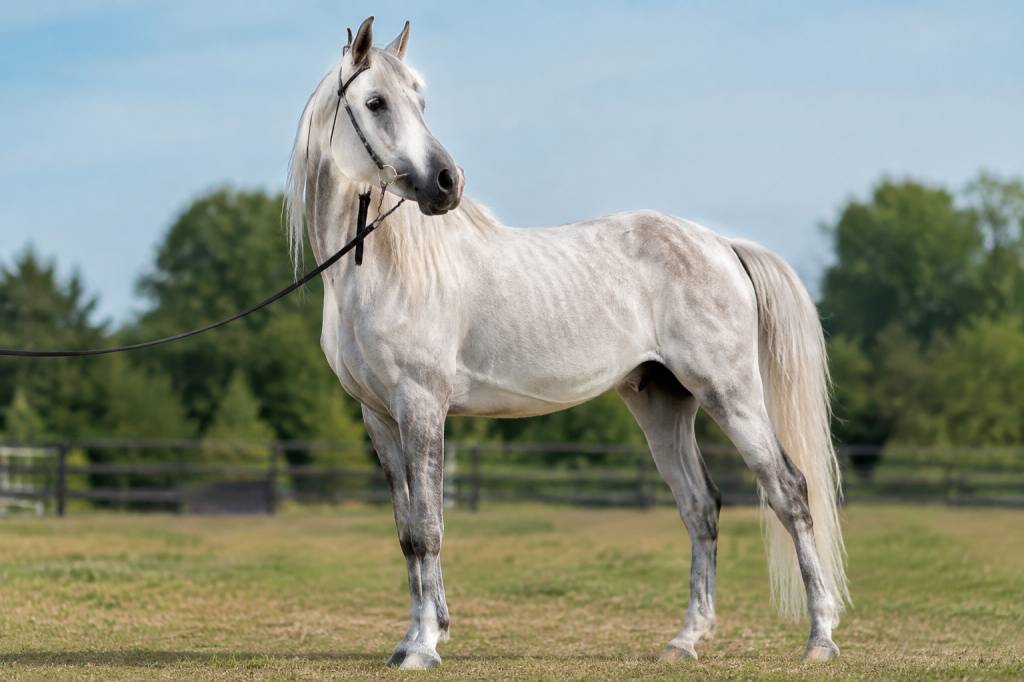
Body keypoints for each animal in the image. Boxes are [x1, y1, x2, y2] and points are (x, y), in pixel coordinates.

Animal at [285, 16, 849, 670]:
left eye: (420, 101)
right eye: (375, 102)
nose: (448, 184)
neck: (380, 270)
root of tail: (721, 245)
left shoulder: (421, 406)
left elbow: (429, 528)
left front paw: (424, 647)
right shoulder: (378, 415)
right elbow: (407, 533)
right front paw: (410, 640)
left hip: (730, 394)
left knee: (789, 492)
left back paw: (820, 637)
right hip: (662, 403)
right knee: (700, 506)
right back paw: (684, 641)